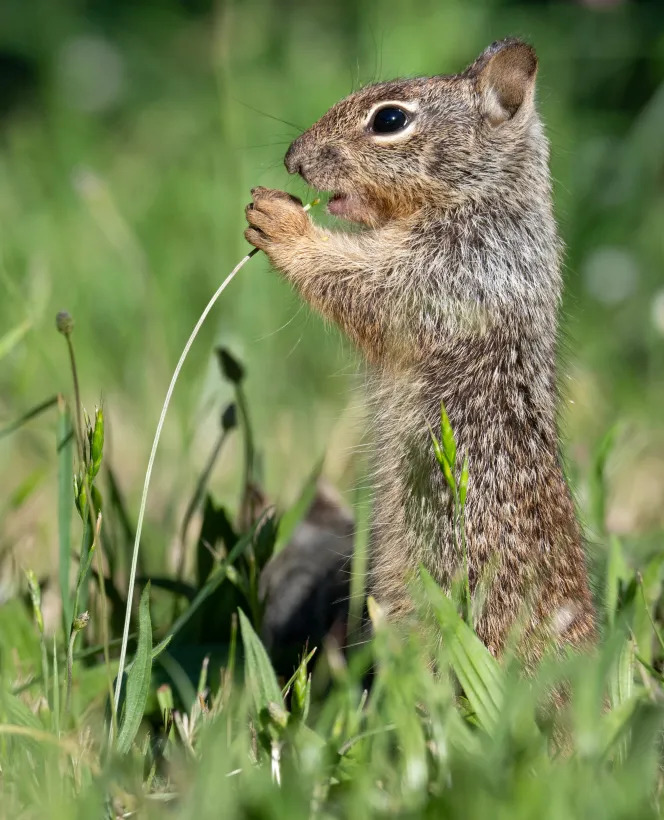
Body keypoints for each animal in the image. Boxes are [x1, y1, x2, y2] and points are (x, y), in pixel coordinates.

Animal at [245, 38, 596, 664]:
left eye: (389, 120)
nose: (292, 160)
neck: (485, 197)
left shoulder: (457, 270)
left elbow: (364, 286)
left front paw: (283, 223)